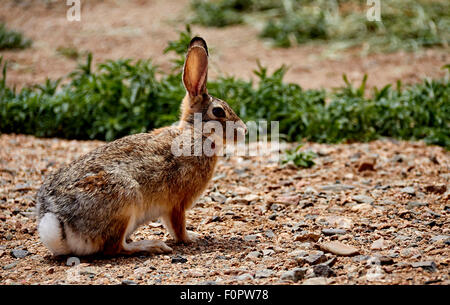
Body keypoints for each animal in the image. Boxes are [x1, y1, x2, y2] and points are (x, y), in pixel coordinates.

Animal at [35, 36, 246, 255]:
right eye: (219, 112)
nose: (245, 130)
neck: (196, 133)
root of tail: (60, 223)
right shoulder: (177, 203)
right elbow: (177, 227)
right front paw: (191, 238)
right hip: (125, 200)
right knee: (115, 247)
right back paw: (152, 245)